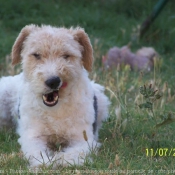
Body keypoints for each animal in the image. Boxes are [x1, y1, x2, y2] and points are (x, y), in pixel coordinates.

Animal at [0, 24, 109, 168]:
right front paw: (44, 164)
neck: (55, 109)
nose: (53, 81)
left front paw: (59, 160)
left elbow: (71, 154)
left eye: (66, 55)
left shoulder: (82, 139)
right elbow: (38, 155)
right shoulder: (33, 137)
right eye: (36, 55)